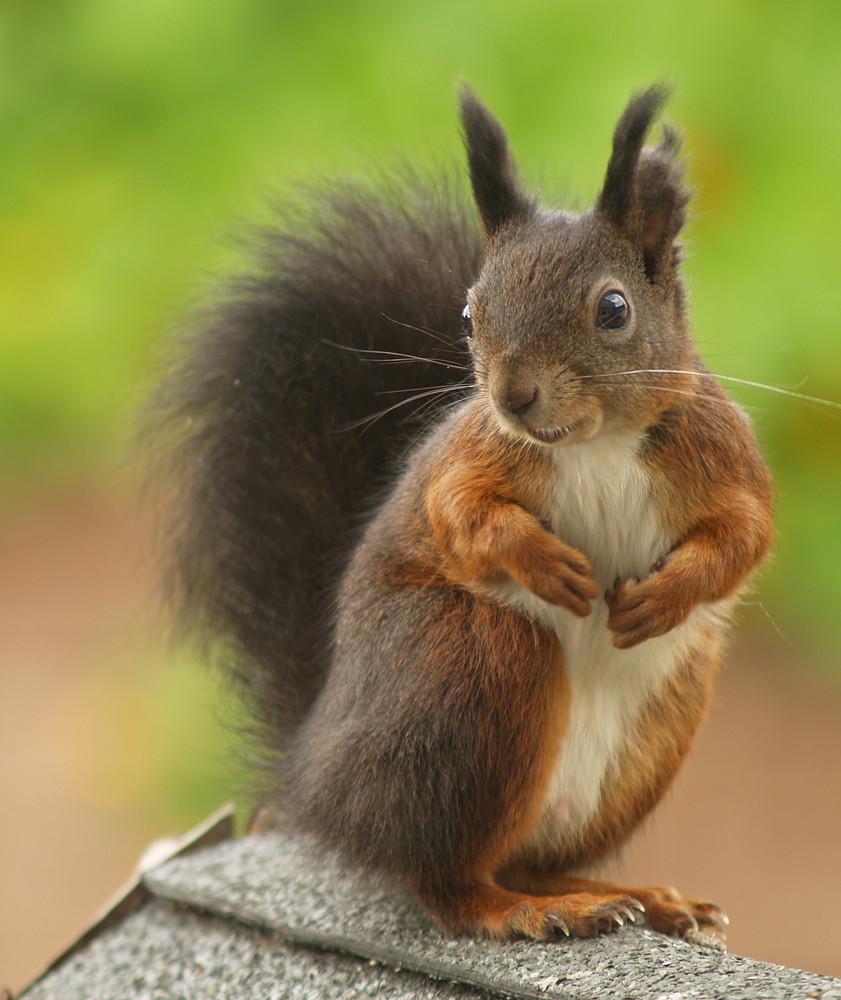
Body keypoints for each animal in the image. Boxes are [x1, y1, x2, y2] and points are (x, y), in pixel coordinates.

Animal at [153, 86, 776, 944]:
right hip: (473, 667)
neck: (595, 443)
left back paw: (634, 897)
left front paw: (664, 595)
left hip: (660, 718)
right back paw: (526, 912)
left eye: (613, 309)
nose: (513, 395)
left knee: (523, 858)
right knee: (447, 879)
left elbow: (743, 535)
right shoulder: (469, 458)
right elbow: (460, 515)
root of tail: (316, 782)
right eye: (470, 311)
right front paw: (546, 563)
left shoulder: (722, 457)